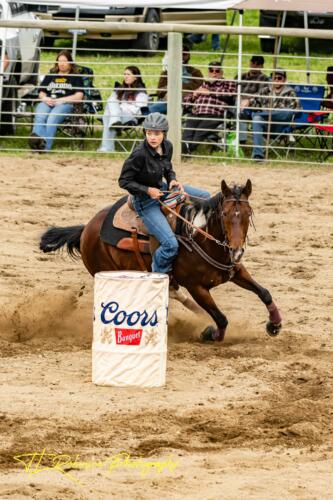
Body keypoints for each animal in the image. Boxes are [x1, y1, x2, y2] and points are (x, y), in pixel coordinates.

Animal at [40, 179, 282, 340]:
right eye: (224, 214)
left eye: (248, 213)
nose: (236, 250)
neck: (200, 238)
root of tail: (86, 229)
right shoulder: (196, 287)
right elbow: (221, 318)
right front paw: (209, 333)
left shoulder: (236, 271)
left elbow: (264, 293)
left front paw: (275, 324)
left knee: (174, 293)